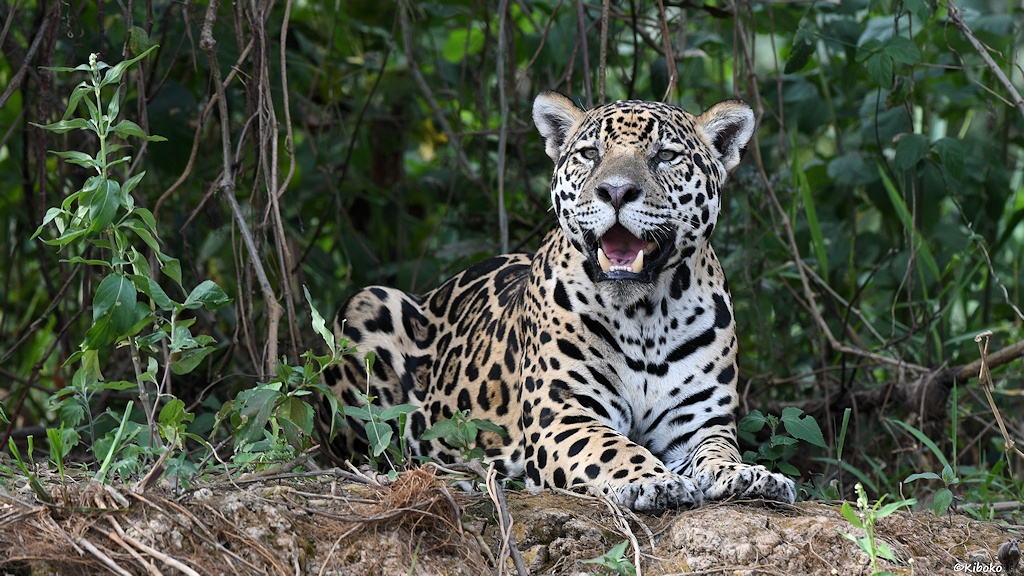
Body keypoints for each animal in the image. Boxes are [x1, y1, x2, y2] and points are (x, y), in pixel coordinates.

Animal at [320, 91, 796, 512]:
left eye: (665, 156)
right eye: (590, 154)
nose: (616, 191)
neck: (645, 316)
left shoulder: (699, 424)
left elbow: (718, 453)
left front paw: (751, 475)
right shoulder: (565, 414)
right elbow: (613, 447)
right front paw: (652, 481)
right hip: (367, 304)